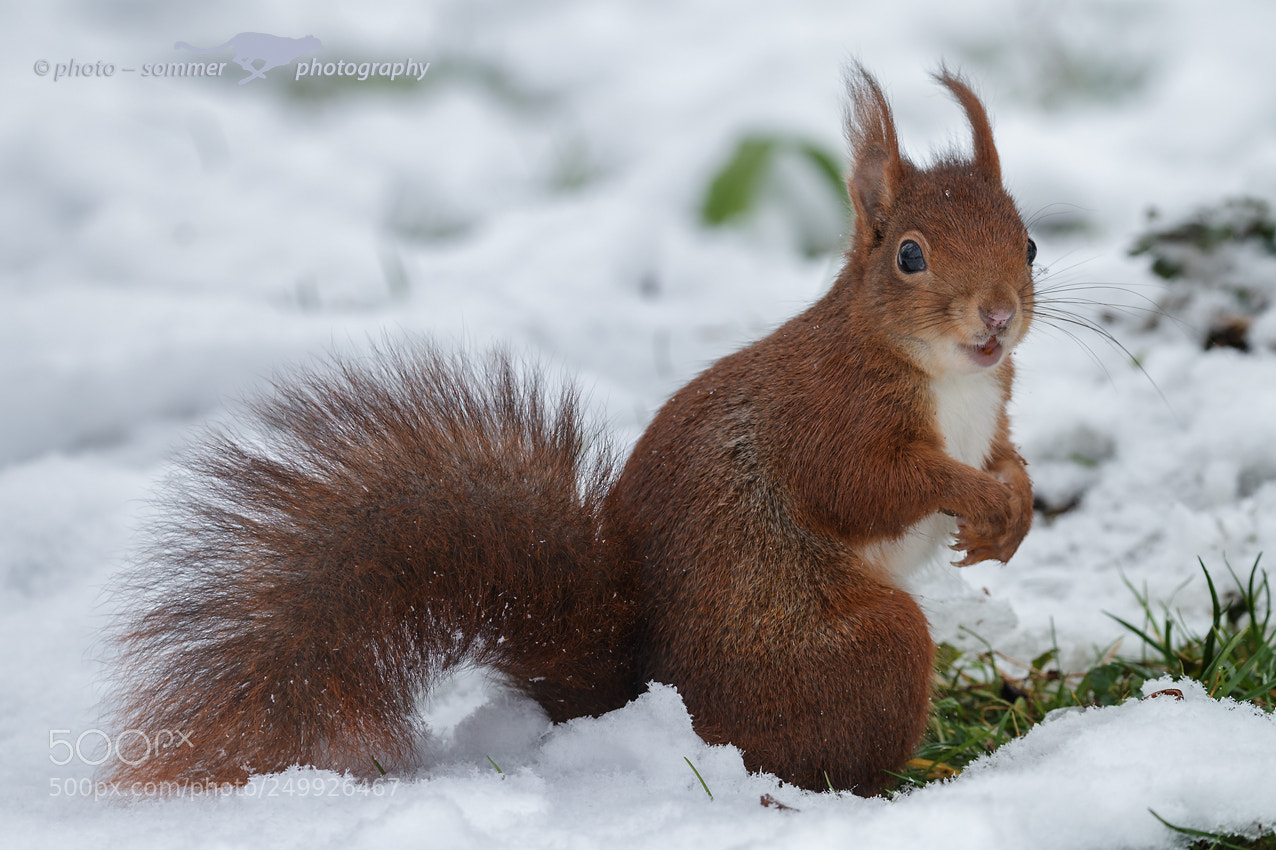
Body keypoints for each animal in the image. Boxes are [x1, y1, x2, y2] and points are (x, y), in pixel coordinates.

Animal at [106, 65, 1035, 797]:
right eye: (909, 255)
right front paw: (975, 493)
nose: (997, 317)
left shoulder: (988, 407)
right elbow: (867, 487)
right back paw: (914, 772)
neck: (949, 378)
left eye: (1027, 242)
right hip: (863, 648)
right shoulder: (826, 416)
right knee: (827, 764)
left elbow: (1002, 453)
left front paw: (1015, 504)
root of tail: (651, 706)